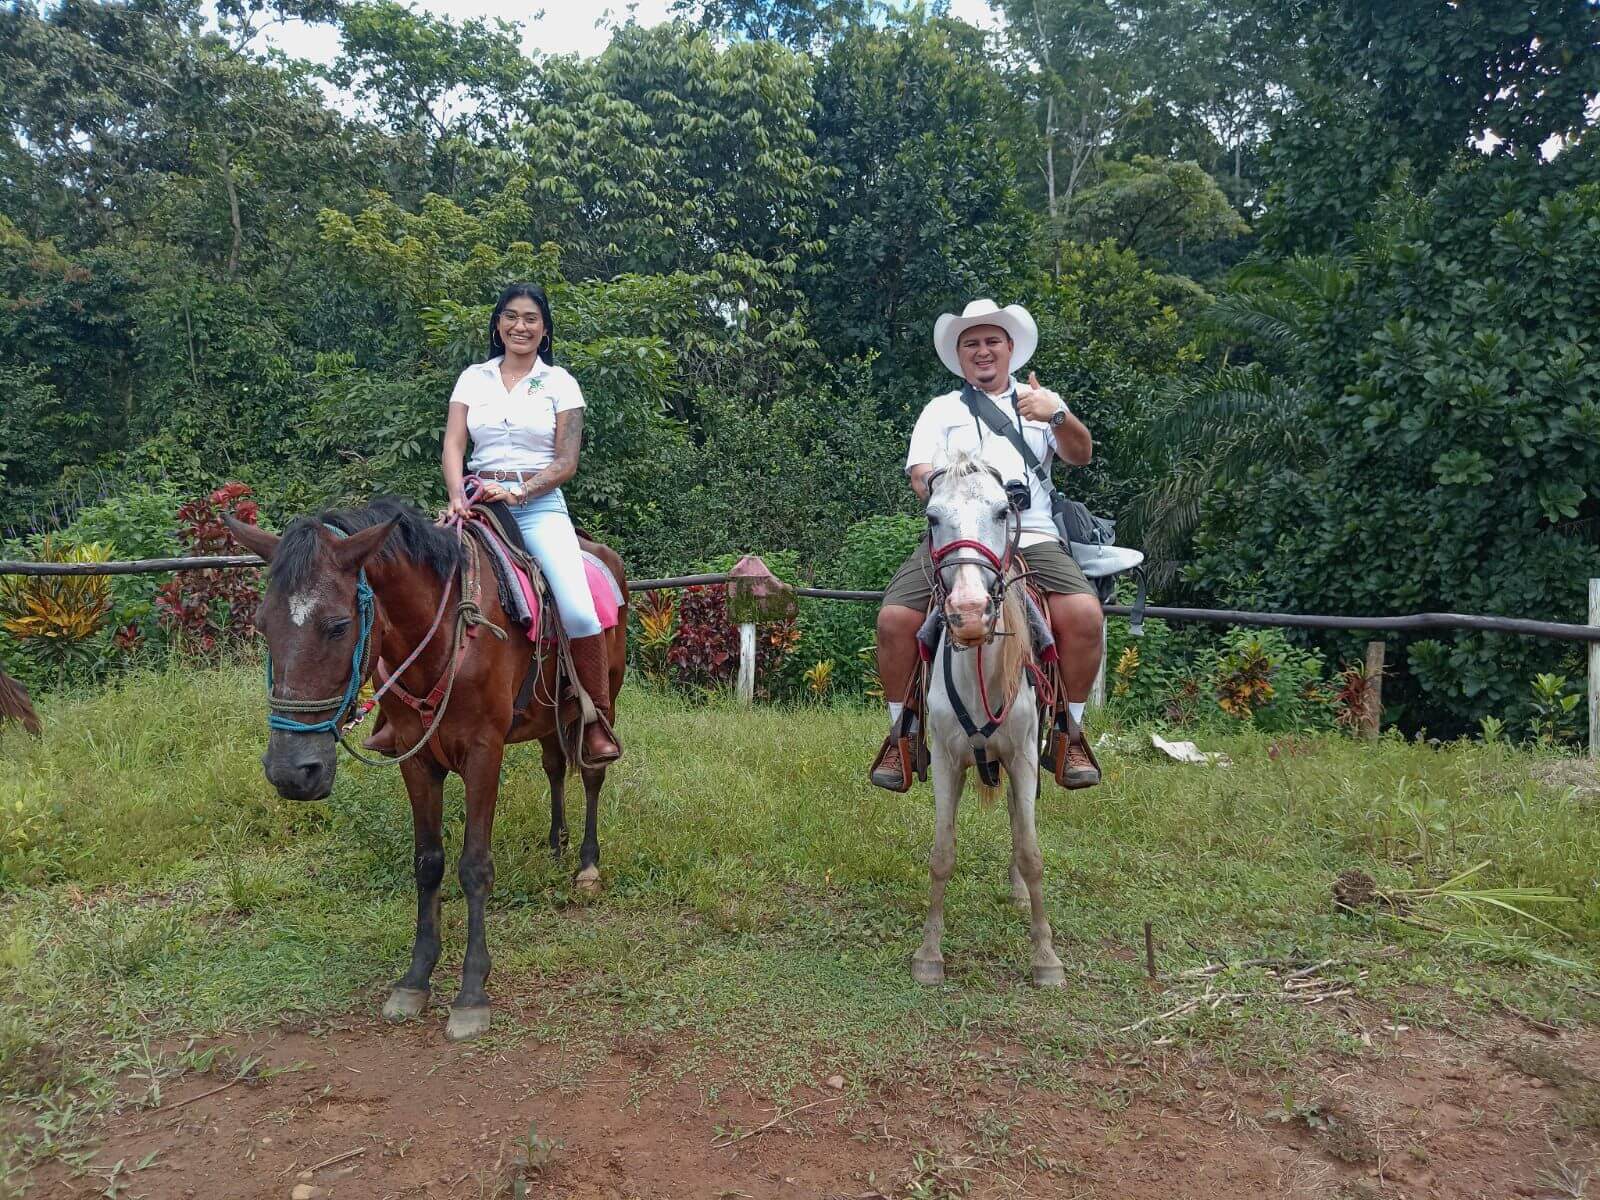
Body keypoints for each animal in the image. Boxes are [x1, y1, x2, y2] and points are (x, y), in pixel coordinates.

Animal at [225, 499, 624, 1043]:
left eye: (338, 625)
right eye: (263, 625)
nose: (291, 771)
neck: (447, 636)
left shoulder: (483, 754)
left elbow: (474, 867)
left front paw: (472, 992)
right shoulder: (415, 760)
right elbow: (428, 863)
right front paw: (415, 979)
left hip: (598, 703)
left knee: (589, 772)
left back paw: (586, 864)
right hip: (547, 713)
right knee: (554, 766)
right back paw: (556, 843)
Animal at [915, 451, 1062, 985]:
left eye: (1002, 512)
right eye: (933, 517)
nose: (970, 612)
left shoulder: (1022, 759)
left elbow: (1032, 853)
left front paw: (1045, 958)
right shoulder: (945, 762)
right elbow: (942, 854)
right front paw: (929, 955)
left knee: (1021, 825)